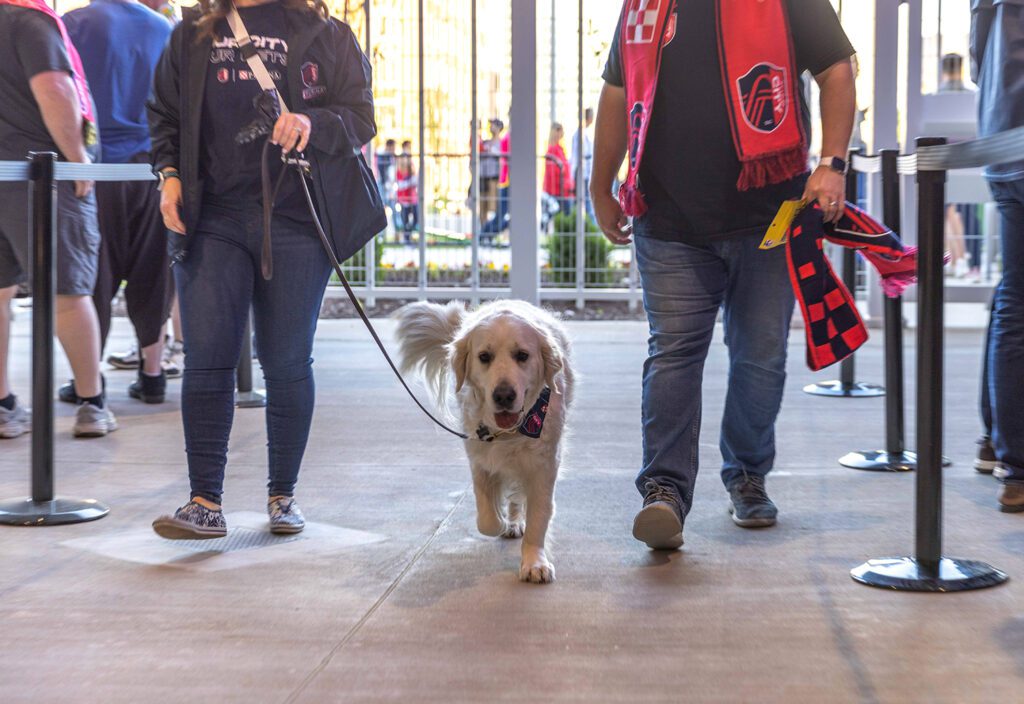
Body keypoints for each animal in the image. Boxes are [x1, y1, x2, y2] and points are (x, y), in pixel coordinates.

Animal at [391, 300, 573, 581]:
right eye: (484, 357)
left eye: (522, 355)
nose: (504, 395)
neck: (509, 431)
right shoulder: (480, 458)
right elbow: (487, 518)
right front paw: (500, 521)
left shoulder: (544, 465)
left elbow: (539, 516)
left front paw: (535, 563)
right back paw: (510, 522)